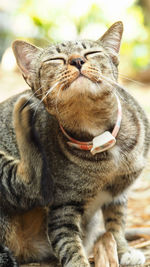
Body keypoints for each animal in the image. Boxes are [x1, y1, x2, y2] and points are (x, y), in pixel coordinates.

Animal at [0, 21, 150, 267]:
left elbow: (116, 222)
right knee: (29, 181)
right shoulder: (62, 207)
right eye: (56, 59)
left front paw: (122, 249)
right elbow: (69, 244)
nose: (77, 60)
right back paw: (23, 120)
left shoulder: (119, 194)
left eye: (91, 53)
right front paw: (80, 261)